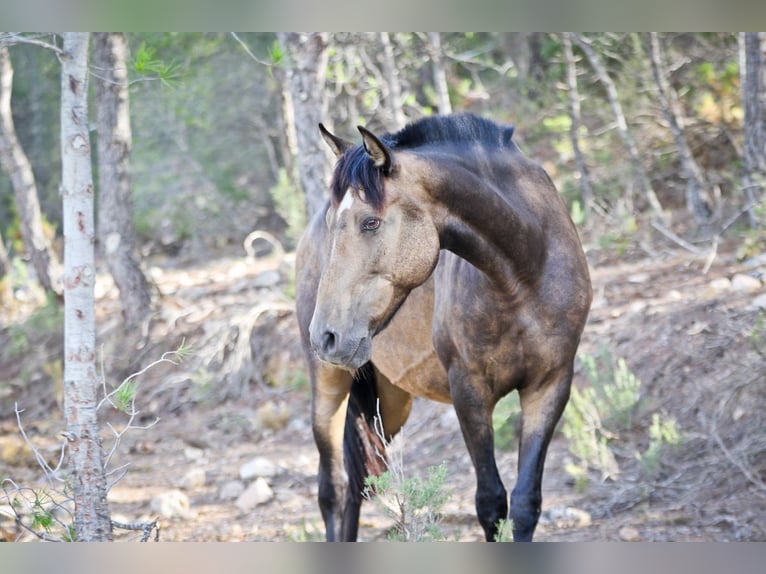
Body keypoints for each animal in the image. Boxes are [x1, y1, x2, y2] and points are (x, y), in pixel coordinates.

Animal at [296, 113, 592, 544]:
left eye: (371, 222)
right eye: (336, 223)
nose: (326, 336)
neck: (525, 272)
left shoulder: (550, 385)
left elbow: (524, 503)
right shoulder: (469, 391)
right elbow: (490, 503)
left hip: (391, 402)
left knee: (356, 487)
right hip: (329, 383)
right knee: (333, 489)